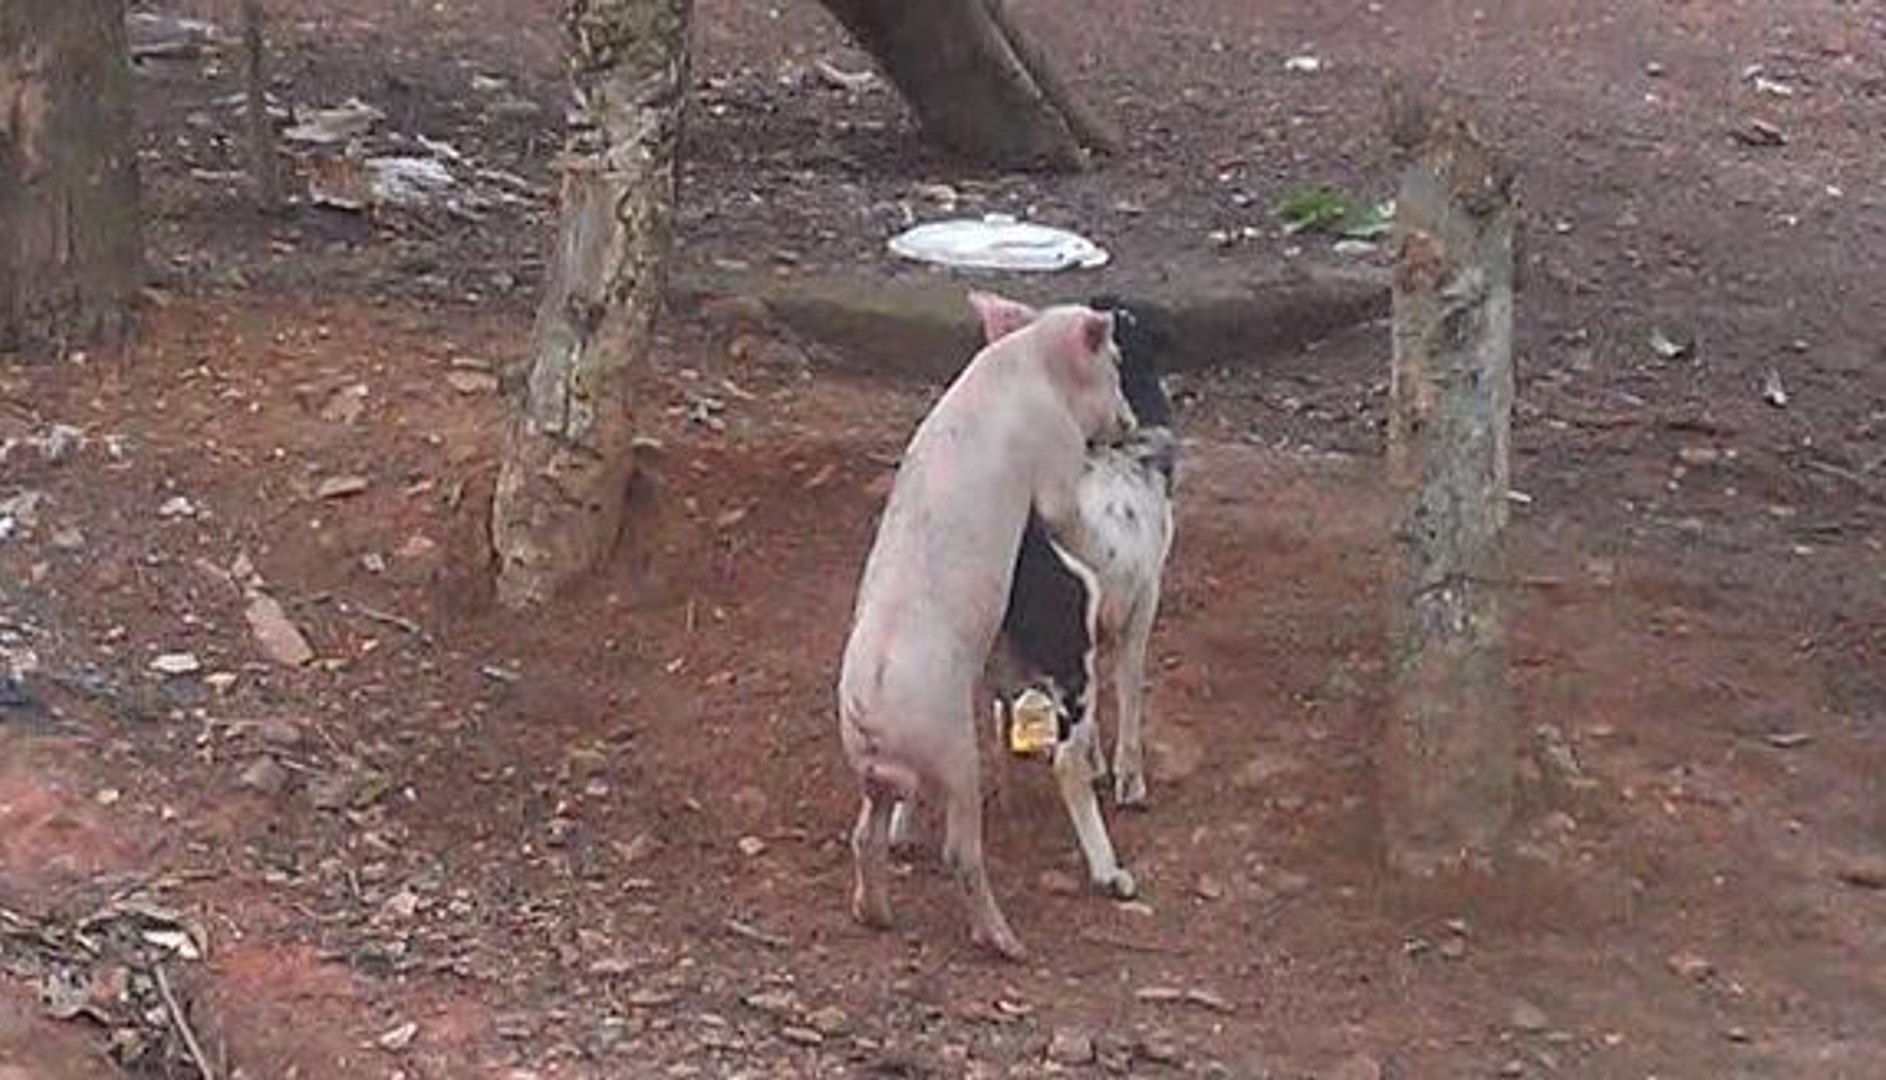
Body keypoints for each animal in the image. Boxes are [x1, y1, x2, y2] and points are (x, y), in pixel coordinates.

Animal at [837, 292, 1135, 960]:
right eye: (1114, 361)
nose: (1129, 424)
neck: (1029, 364)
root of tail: (871, 707)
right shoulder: (1054, 459)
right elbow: (1064, 512)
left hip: (872, 773)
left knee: (865, 835)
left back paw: (875, 916)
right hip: (952, 748)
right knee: (960, 851)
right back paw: (1008, 944)